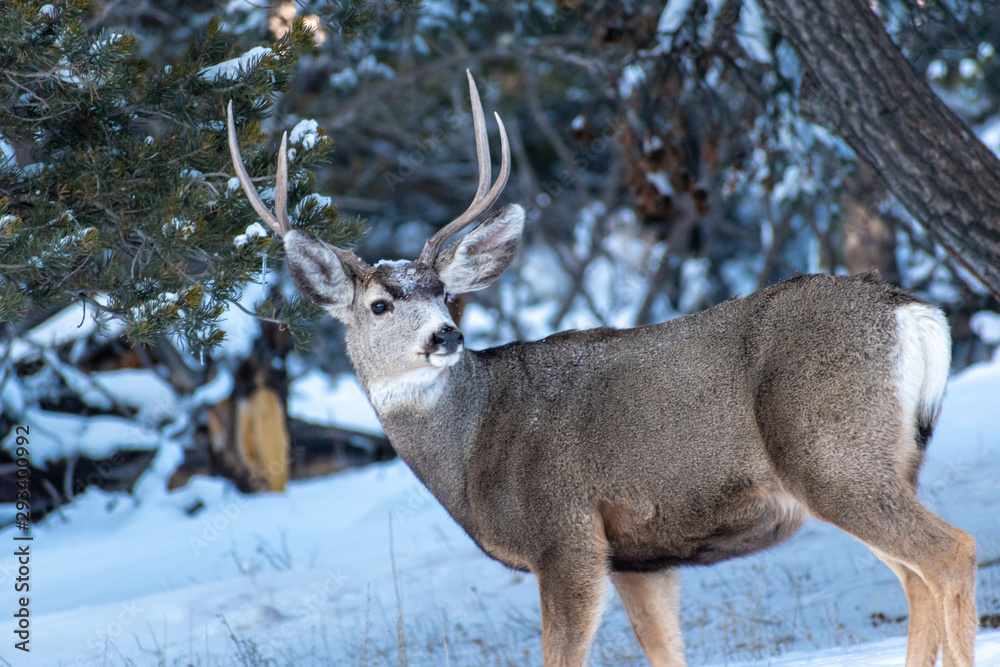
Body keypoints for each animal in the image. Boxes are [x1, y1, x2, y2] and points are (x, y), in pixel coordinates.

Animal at [225, 71, 977, 667]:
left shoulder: (566, 535)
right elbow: (666, 654)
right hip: (884, 461)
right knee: (916, 579)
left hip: (830, 453)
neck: (470, 449)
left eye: (443, 292)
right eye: (381, 304)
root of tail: (912, 312)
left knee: (952, 552)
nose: (446, 334)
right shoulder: (642, 557)